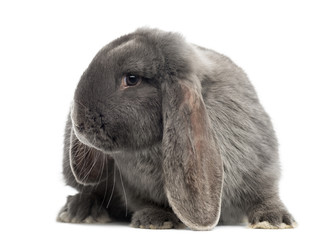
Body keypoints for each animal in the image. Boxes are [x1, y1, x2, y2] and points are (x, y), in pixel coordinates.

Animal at [57, 28, 296, 231]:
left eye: (132, 79)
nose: (79, 124)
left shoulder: (260, 165)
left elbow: (264, 194)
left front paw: (274, 219)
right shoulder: (133, 185)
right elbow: (146, 201)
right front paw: (154, 220)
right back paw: (79, 210)